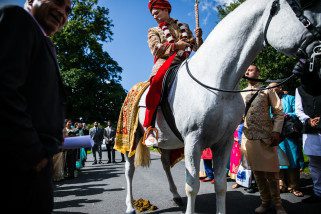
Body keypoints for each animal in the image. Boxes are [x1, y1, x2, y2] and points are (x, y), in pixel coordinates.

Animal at [123, 0, 320, 213]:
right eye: (303, 7)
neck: (218, 83)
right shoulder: (193, 141)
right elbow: (192, 186)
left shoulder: (224, 141)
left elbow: (220, 184)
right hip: (133, 137)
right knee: (129, 170)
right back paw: (130, 205)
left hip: (167, 141)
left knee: (166, 164)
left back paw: (175, 196)